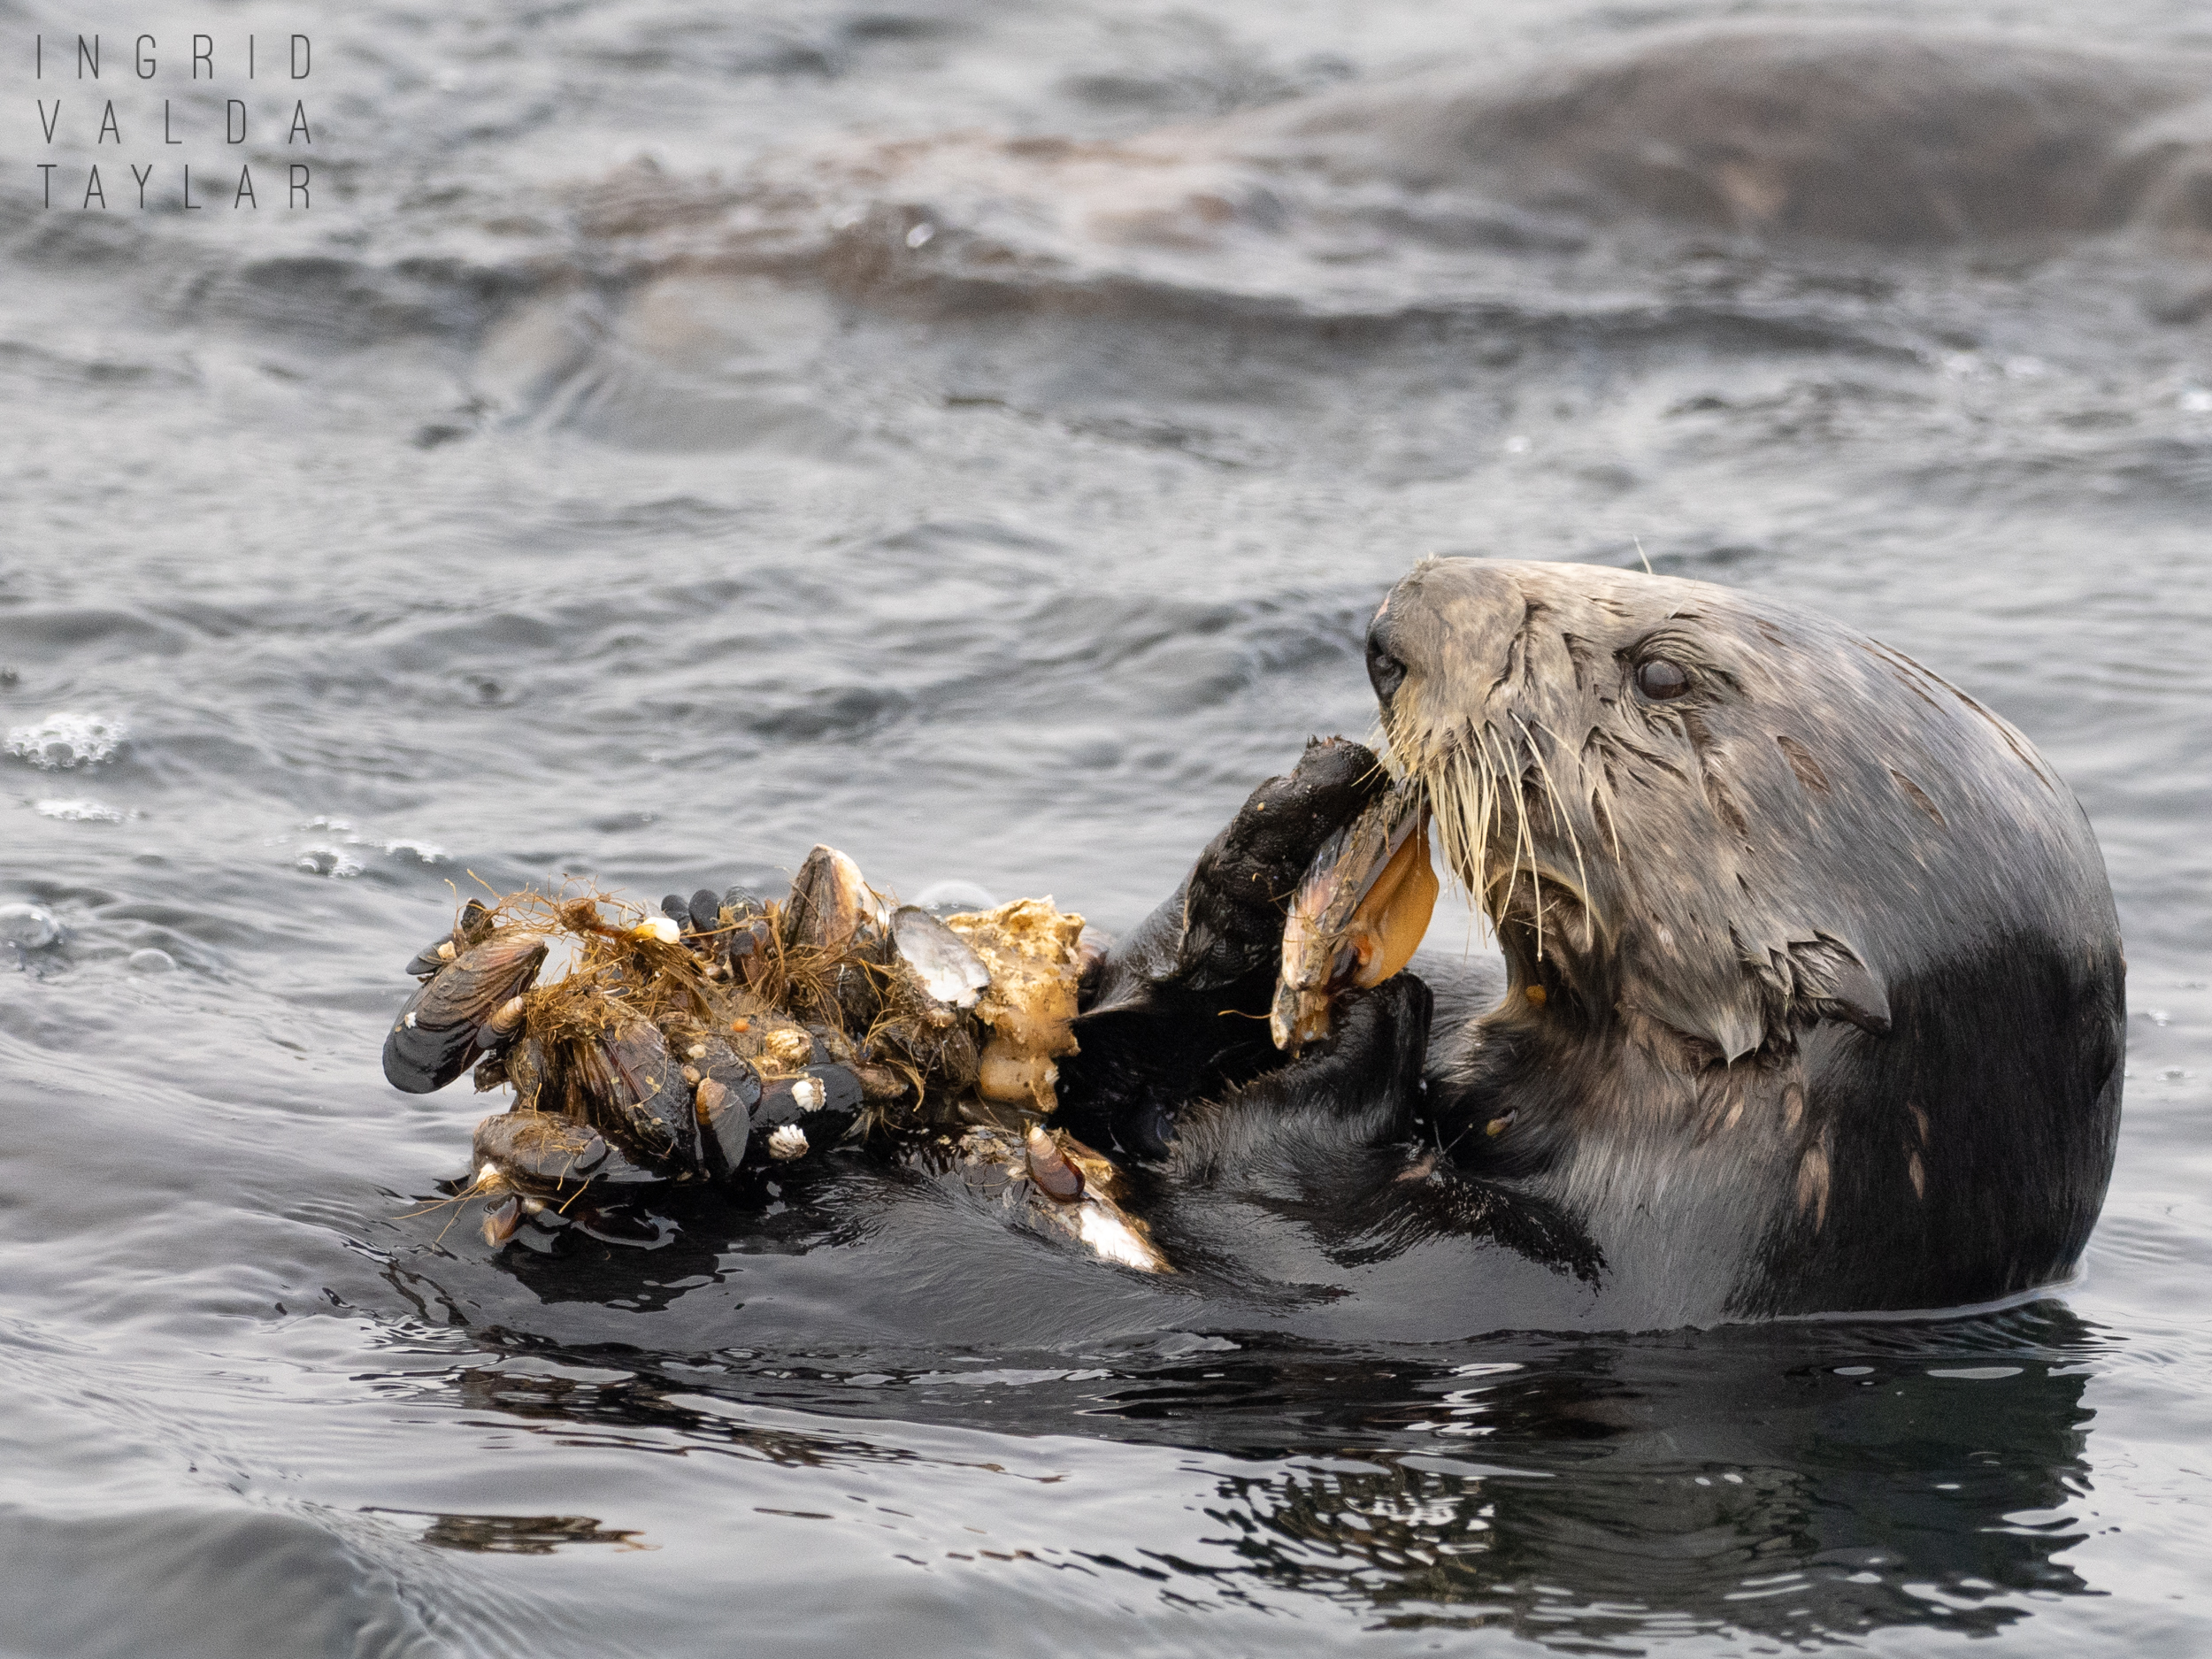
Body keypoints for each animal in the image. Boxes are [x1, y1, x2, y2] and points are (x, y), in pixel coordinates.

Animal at [1057, 559, 2124, 1327]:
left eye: (1661, 671)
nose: (1395, 622)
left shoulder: (1499, 1289)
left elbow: (1296, 1229)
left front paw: (1356, 1037)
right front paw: (1267, 851)